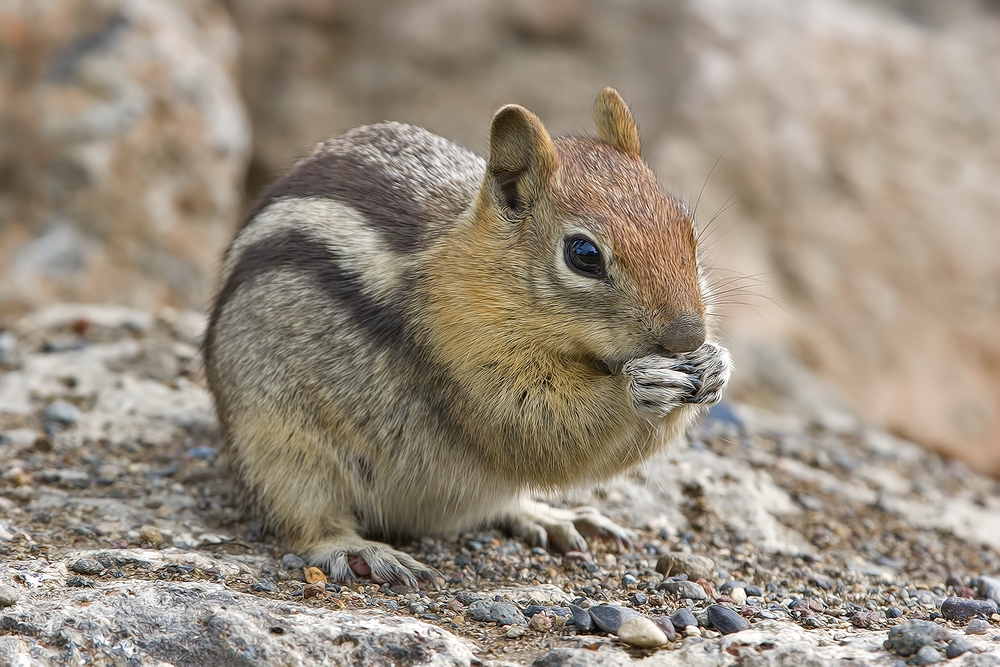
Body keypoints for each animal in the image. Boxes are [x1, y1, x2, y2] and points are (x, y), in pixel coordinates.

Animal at [205, 87, 736, 584]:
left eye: (686, 227)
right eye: (583, 254)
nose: (687, 336)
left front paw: (715, 366)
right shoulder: (464, 354)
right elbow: (535, 424)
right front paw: (640, 386)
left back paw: (551, 516)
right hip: (280, 448)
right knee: (305, 521)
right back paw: (360, 550)